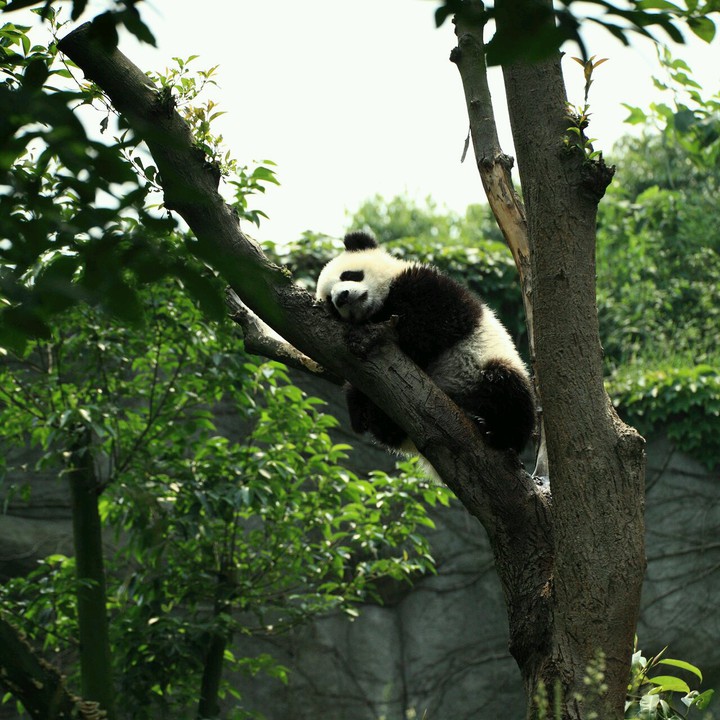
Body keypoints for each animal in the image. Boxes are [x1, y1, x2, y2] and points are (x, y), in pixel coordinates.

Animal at [315, 231, 536, 455]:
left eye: (349, 275)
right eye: (330, 301)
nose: (341, 297)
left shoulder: (432, 287)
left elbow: (432, 322)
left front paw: (372, 333)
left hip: (484, 365)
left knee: (508, 391)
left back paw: (497, 433)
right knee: (384, 428)